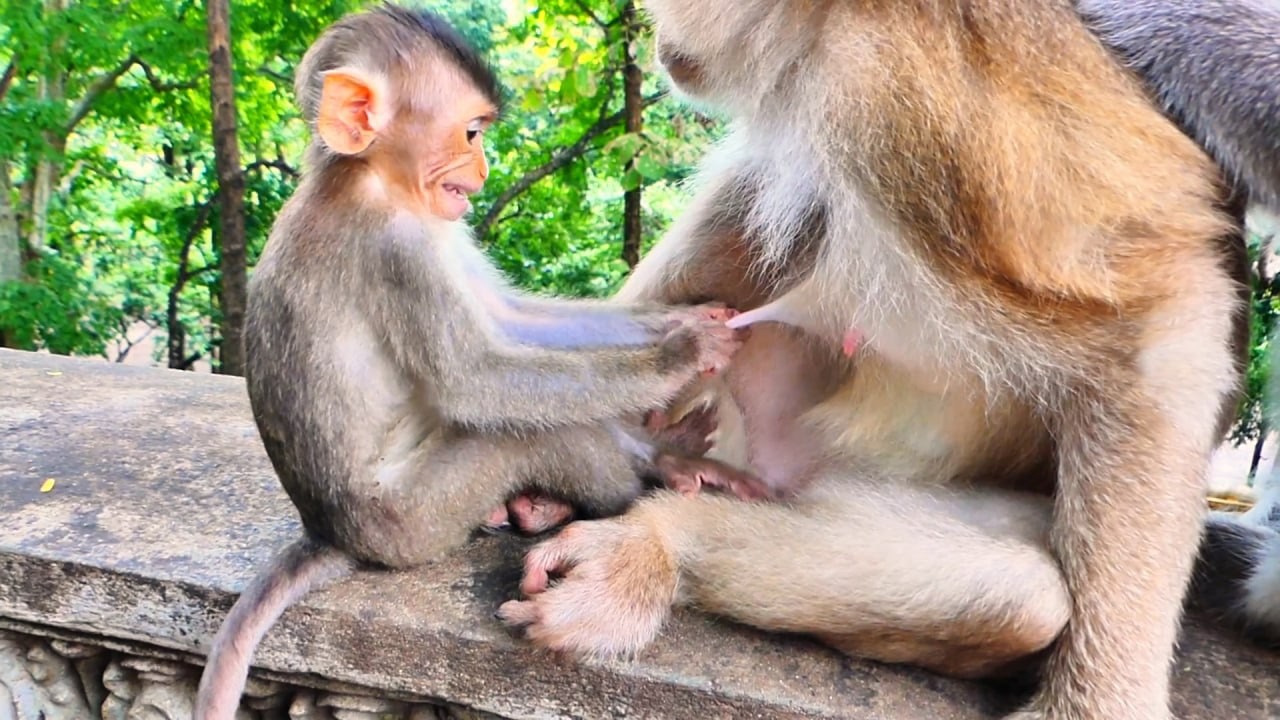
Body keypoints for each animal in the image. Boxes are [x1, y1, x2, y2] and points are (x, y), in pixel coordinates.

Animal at [193, 6, 753, 719]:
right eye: (470, 132)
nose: (481, 172)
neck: (367, 177)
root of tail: (332, 532)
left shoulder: (437, 227)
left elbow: (514, 319)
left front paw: (689, 321)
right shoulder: (398, 248)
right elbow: (476, 380)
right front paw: (682, 354)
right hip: (412, 522)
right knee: (519, 433)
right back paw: (643, 477)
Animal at [497, 2, 1259, 719]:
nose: (657, 39)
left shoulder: (904, 105)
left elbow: (1163, 316)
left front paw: (1098, 703)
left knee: (1023, 597)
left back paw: (660, 535)